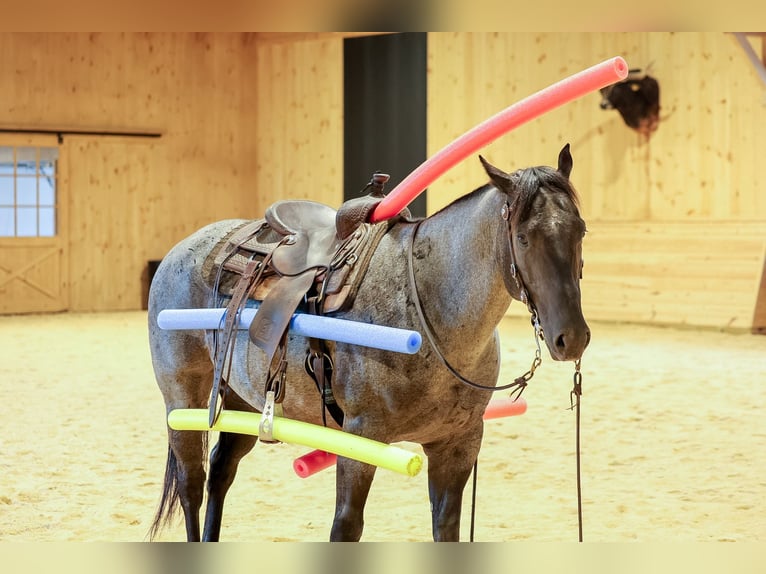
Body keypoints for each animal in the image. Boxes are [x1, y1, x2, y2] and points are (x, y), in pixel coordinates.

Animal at [146, 144, 591, 542]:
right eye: (523, 237)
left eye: (581, 231)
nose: (572, 337)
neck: (429, 304)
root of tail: (178, 251)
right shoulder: (361, 441)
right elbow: (346, 527)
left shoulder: (459, 444)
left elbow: (446, 526)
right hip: (180, 399)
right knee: (191, 483)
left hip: (242, 397)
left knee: (220, 473)